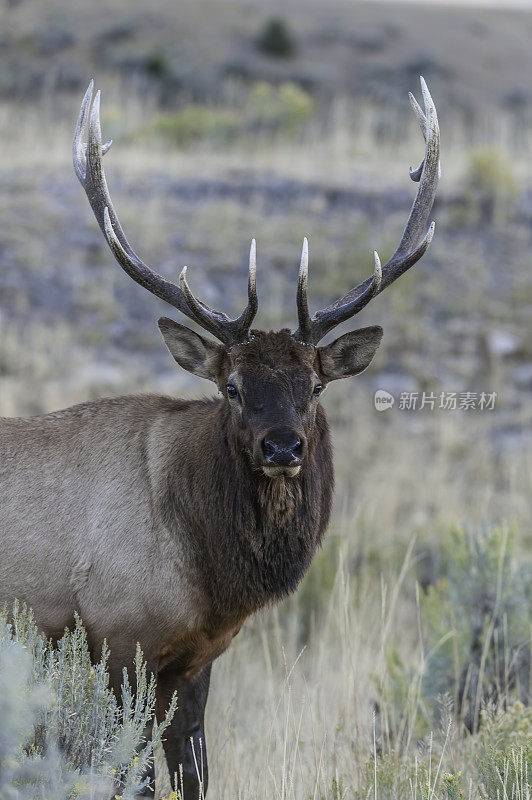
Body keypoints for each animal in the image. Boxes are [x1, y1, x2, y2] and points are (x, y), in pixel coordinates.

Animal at [0, 78, 438, 796]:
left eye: (315, 386)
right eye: (231, 386)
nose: (282, 447)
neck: (207, 571)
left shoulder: (196, 658)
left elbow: (196, 770)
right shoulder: (117, 640)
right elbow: (134, 775)